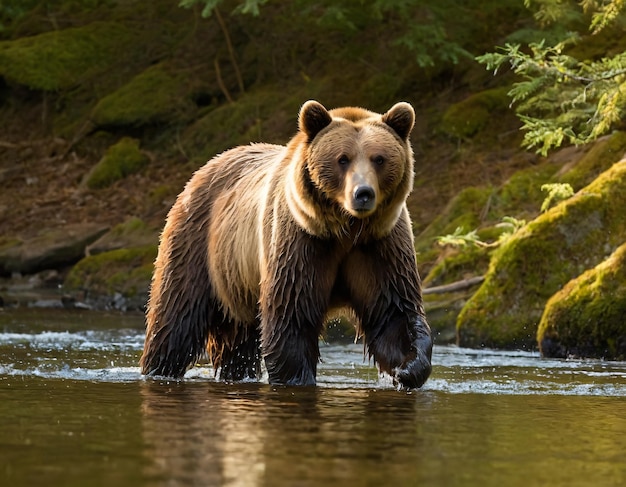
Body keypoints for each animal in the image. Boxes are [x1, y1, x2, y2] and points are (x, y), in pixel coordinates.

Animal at [141, 100, 432, 388]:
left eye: (379, 158)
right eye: (342, 158)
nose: (363, 194)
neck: (346, 229)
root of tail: (205, 167)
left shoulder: (379, 245)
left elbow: (393, 312)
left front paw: (407, 368)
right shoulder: (301, 242)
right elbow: (292, 316)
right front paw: (297, 378)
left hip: (237, 282)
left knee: (237, 344)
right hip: (196, 243)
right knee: (176, 320)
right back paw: (157, 368)